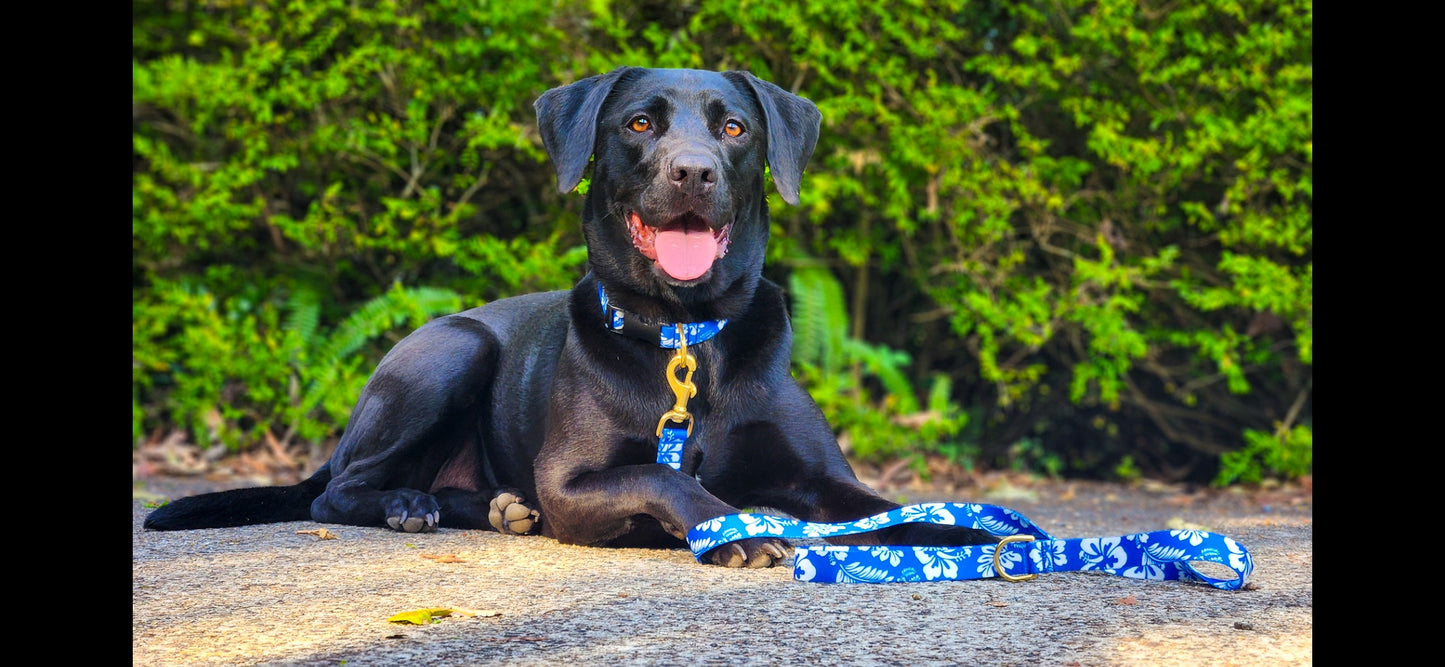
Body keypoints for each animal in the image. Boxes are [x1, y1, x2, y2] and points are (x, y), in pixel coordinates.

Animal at [149, 67, 1005, 565]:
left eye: (734, 127)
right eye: (639, 123)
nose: (692, 172)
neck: (686, 337)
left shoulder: (820, 479)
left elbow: (887, 511)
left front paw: (972, 534)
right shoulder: (571, 482)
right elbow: (665, 478)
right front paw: (737, 528)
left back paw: (491, 506)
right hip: (451, 352)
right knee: (338, 492)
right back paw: (407, 503)